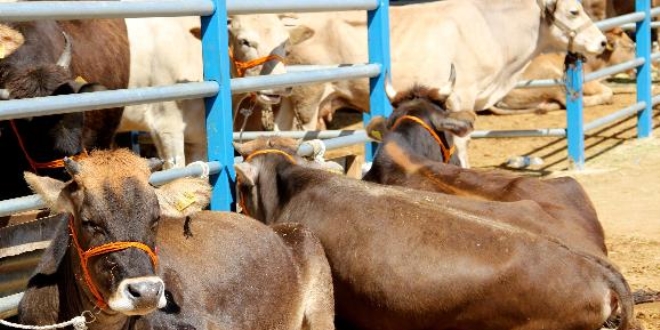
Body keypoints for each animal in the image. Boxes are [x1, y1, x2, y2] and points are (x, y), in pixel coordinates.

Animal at [274, 0, 608, 168]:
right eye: (574, 11)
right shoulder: (461, 96)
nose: (603, 41)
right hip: (308, 96)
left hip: (287, 100)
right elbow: (462, 142)